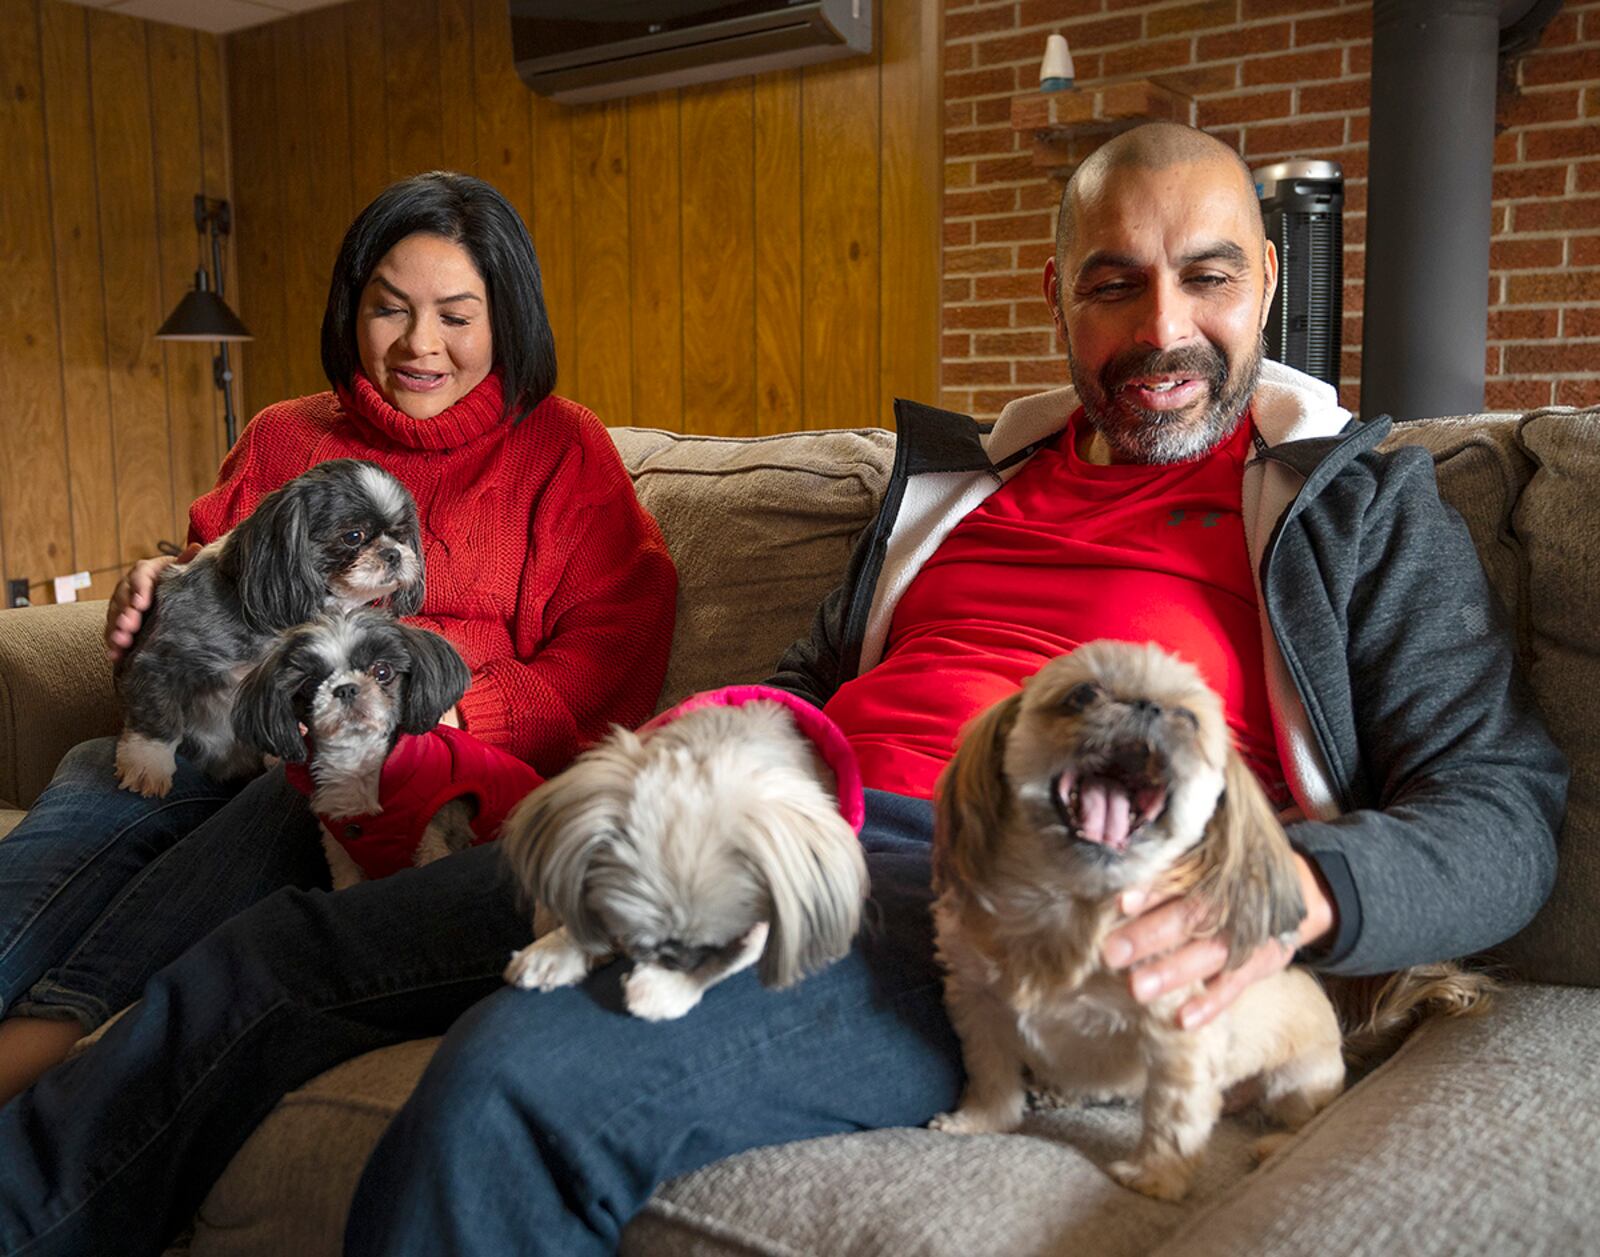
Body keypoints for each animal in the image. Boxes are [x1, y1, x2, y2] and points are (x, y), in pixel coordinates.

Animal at [115, 457, 422, 793]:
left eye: (401, 535)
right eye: (353, 536)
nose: (393, 553)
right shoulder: (161, 660)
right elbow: (157, 715)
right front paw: (147, 764)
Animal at [232, 604, 544, 882]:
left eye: (382, 671)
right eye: (309, 685)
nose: (345, 689)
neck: (357, 765)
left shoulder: (431, 833)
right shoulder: (339, 848)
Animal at [502, 684, 870, 1017]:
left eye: (723, 943)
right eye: (630, 934)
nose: (671, 959)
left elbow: (736, 957)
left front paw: (663, 989)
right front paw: (557, 947)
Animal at [928, 642, 1484, 1202]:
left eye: (1189, 719)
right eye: (1082, 694)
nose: (1148, 706)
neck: (1070, 910)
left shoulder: (1178, 1035)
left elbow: (1172, 1118)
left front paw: (1155, 1178)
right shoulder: (977, 1003)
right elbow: (991, 1073)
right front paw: (980, 1121)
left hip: (1294, 1081)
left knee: (1307, 1116)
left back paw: (1271, 1145)